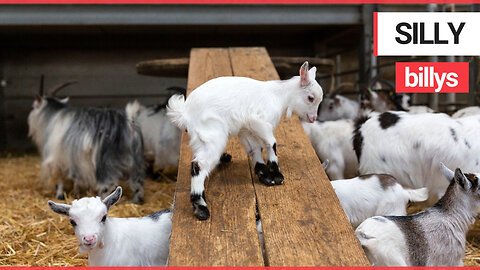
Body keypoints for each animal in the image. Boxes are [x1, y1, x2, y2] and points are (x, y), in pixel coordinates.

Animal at [168, 60, 322, 219]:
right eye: (310, 98)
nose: (313, 118)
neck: (279, 96)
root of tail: (185, 113)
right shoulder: (259, 121)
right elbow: (271, 143)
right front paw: (276, 175)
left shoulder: (245, 129)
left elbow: (255, 148)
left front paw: (264, 175)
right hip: (213, 135)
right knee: (199, 165)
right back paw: (201, 208)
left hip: (201, 138)